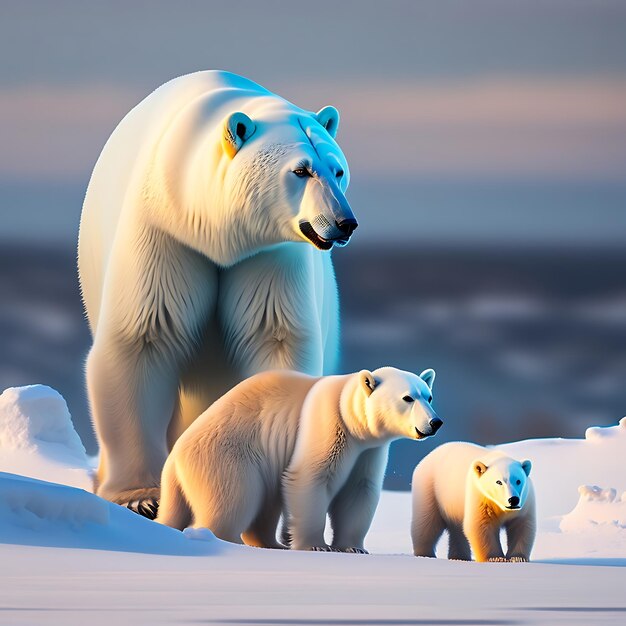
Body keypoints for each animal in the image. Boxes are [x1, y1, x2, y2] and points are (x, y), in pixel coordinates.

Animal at [78, 72, 356, 512]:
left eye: (338, 169)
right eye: (301, 170)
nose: (344, 222)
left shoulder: (267, 255)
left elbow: (274, 337)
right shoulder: (165, 233)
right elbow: (143, 339)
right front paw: (140, 497)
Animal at [154, 364, 442, 548]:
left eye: (428, 396)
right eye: (407, 398)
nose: (435, 422)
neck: (349, 413)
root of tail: (173, 460)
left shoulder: (369, 450)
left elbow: (358, 490)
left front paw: (354, 547)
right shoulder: (327, 424)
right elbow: (310, 477)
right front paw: (315, 545)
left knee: (263, 502)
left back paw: (270, 544)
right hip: (226, 455)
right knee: (235, 496)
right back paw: (227, 539)